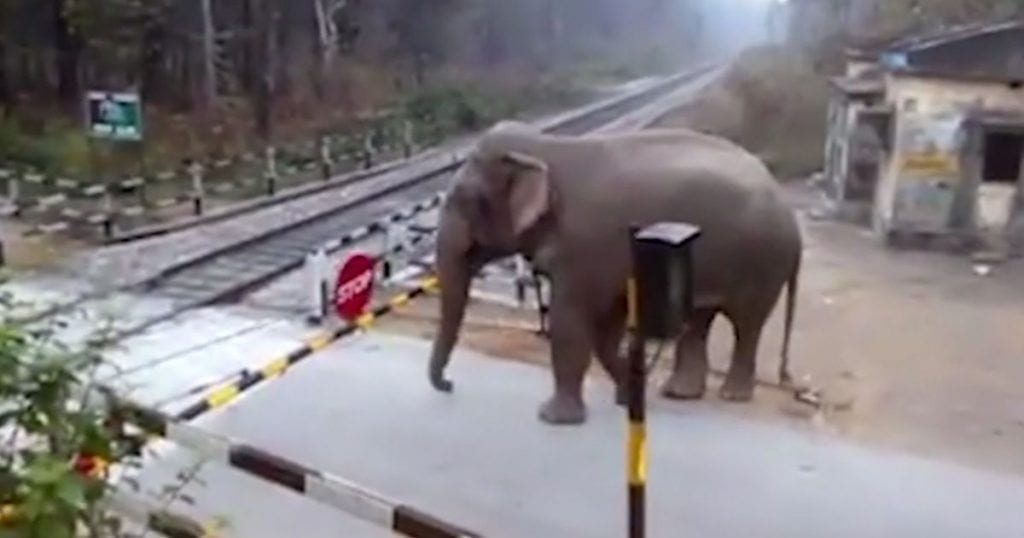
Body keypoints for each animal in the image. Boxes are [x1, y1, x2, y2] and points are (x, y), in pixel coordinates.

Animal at [426, 120, 802, 426]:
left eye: (463, 199)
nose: (449, 384)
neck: (547, 147)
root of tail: (789, 212)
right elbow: (606, 329)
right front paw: (629, 396)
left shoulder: (586, 248)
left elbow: (571, 320)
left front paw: (553, 418)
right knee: (699, 319)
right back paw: (679, 393)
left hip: (762, 262)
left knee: (746, 324)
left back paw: (732, 395)